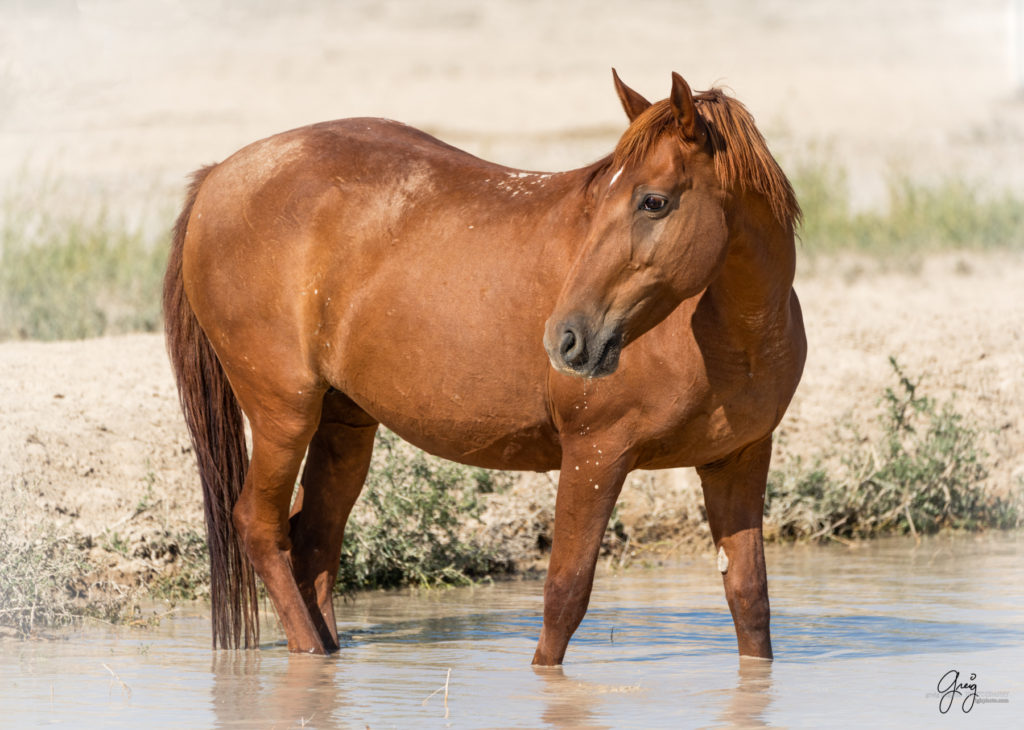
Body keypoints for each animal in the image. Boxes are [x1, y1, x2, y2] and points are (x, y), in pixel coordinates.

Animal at [163, 71, 802, 663]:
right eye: (600, 200)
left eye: (654, 201)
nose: (567, 339)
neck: (732, 337)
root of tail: (221, 174)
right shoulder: (595, 454)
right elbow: (564, 598)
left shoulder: (739, 460)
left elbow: (750, 601)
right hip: (284, 414)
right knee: (259, 525)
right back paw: (311, 651)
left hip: (344, 426)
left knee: (314, 543)